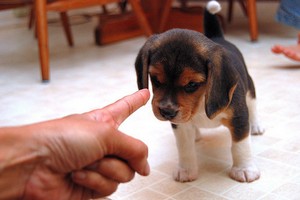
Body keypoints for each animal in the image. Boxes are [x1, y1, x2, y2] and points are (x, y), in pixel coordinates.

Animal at [135, 0, 264, 183]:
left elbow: (240, 146)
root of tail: (217, 37)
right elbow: (184, 148)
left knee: (253, 107)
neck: (200, 102)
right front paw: (186, 170)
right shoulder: (180, 126)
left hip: (250, 89)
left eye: (192, 84)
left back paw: (256, 125)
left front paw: (244, 169)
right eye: (156, 79)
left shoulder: (238, 117)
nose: (166, 112)